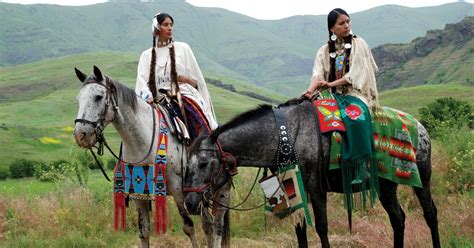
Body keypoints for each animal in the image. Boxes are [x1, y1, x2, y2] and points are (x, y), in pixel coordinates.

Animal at [71, 66, 231, 248]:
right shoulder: (138, 194)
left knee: (216, 224)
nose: (80, 135)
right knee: (208, 223)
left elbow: (189, 227)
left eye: (98, 97)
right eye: (78, 99)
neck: (144, 142)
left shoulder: (179, 191)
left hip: (221, 191)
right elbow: (144, 230)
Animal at [182, 101, 440, 248]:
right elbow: (300, 231)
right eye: (186, 166)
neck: (284, 136)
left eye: (203, 163)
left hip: (422, 180)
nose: (190, 203)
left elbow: (322, 228)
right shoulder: (295, 191)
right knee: (398, 219)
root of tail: (420, 126)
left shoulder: (316, 189)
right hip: (387, 187)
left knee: (430, 214)